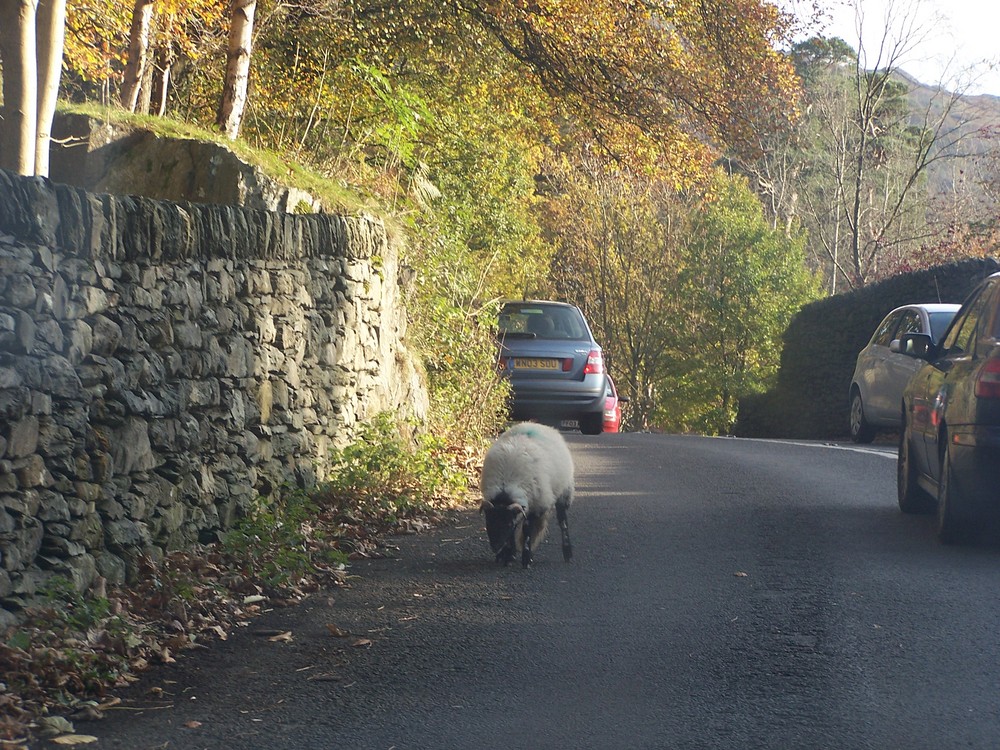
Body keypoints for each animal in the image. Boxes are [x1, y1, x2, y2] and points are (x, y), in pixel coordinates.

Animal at [480, 424, 576, 568]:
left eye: (508, 524)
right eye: (488, 521)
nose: (496, 547)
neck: (505, 486)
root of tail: (540, 425)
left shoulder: (536, 506)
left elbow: (527, 531)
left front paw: (526, 559)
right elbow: (513, 533)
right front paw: (508, 556)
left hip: (564, 492)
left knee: (563, 523)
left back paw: (567, 553)